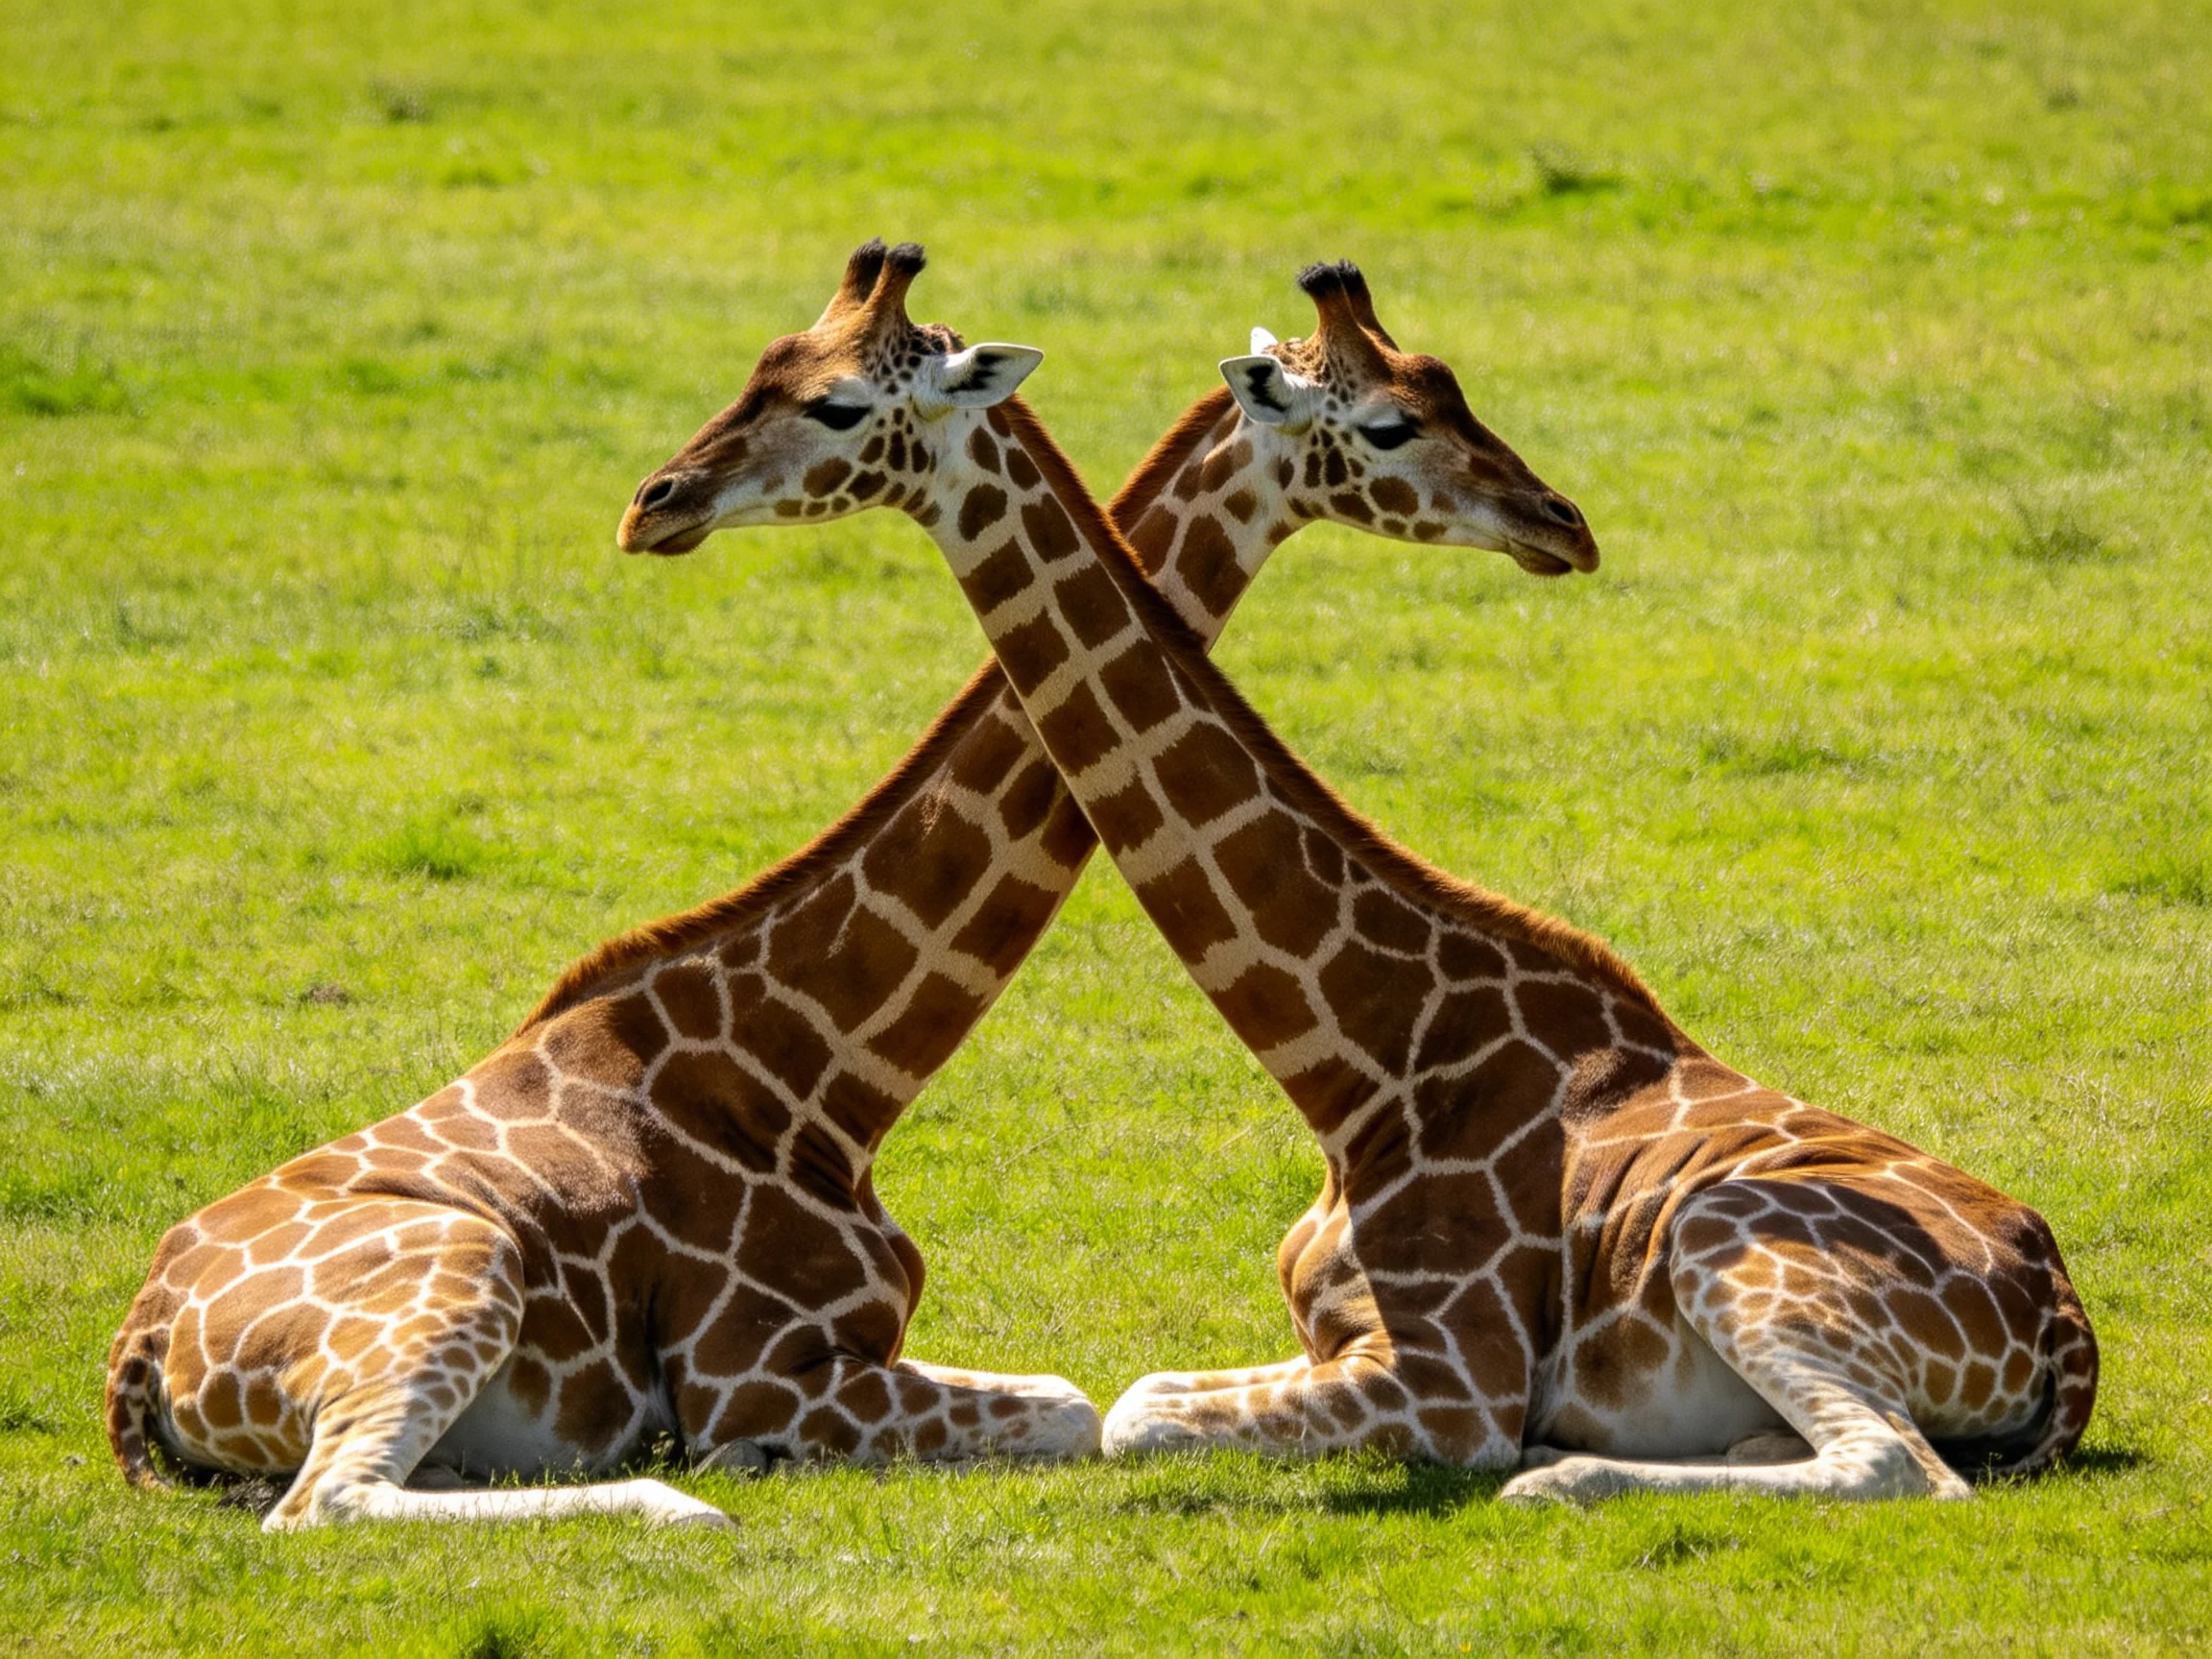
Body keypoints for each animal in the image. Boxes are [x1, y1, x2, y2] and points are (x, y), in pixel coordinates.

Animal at [103, 241, 1589, 1530]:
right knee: (329, 1502)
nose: (1560, 524)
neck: (821, 1078)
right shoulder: (754, 1370)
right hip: (442, 1283)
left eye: (823, 395)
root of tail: (139, 1344)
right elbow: (1070, 1405)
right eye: (1391, 426)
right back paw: (675, 1503)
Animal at [630, 248, 2099, 1503]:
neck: (1360, 1066)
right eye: (1398, 421)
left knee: (1896, 1465)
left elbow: (1133, 1410)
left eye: (831, 405)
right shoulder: (1335, 1331)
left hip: (1738, 1252)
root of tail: (2065, 1321)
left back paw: (1559, 1474)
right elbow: (1131, 1398)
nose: (657, 503)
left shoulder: (1449, 1380)